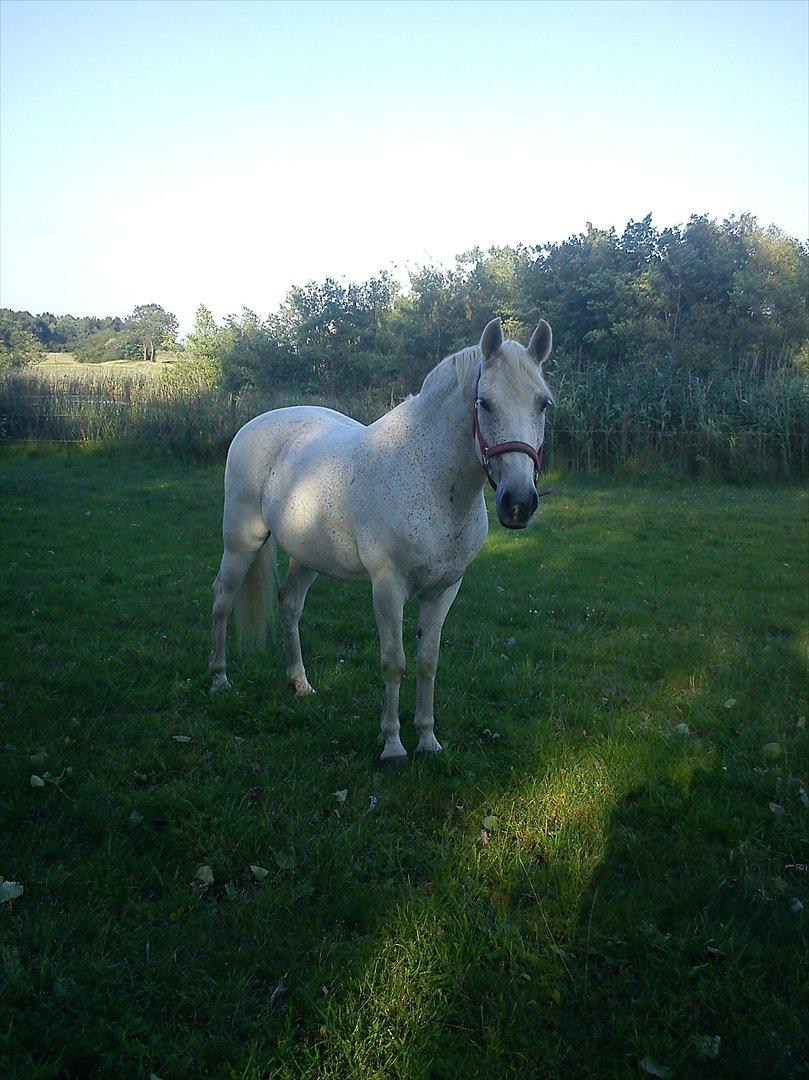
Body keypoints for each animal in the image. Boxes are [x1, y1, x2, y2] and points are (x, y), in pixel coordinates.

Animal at [206, 317, 557, 768]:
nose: (518, 503)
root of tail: (255, 424)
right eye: (485, 403)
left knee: (290, 605)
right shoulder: (388, 588)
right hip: (241, 541)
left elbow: (427, 663)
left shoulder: (444, 590)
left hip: (307, 556)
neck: (429, 478)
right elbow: (394, 663)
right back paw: (219, 680)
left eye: (543, 404)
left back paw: (300, 684)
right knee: (222, 599)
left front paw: (427, 739)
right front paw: (392, 746)